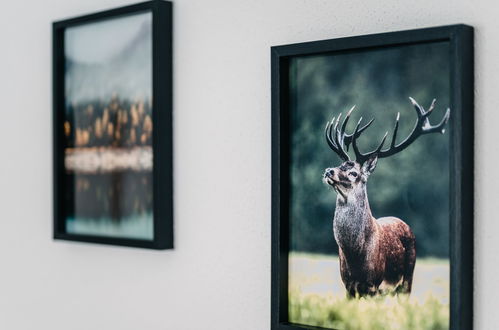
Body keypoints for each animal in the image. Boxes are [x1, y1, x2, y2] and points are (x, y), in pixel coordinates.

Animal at [322, 96, 452, 298]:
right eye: (339, 164)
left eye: (353, 173)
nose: (329, 170)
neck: (356, 254)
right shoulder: (348, 285)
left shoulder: (374, 284)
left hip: (407, 279)